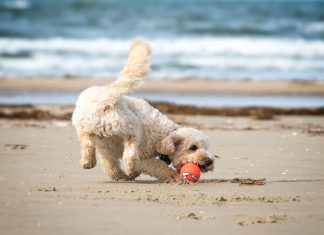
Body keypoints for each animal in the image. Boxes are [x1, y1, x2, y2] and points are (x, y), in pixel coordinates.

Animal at [71, 39, 214, 181]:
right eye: (193, 148)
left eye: (206, 147)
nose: (209, 161)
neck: (163, 135)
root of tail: (105, 97)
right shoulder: (144, 158)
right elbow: (159, 167)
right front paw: (174, 176)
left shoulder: (107, 153)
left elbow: (111, 169)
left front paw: (123, 176)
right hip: (130, 126)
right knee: (130, 154)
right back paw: (129, 168)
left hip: (85, 127)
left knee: (88, 143)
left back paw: (88, 162)